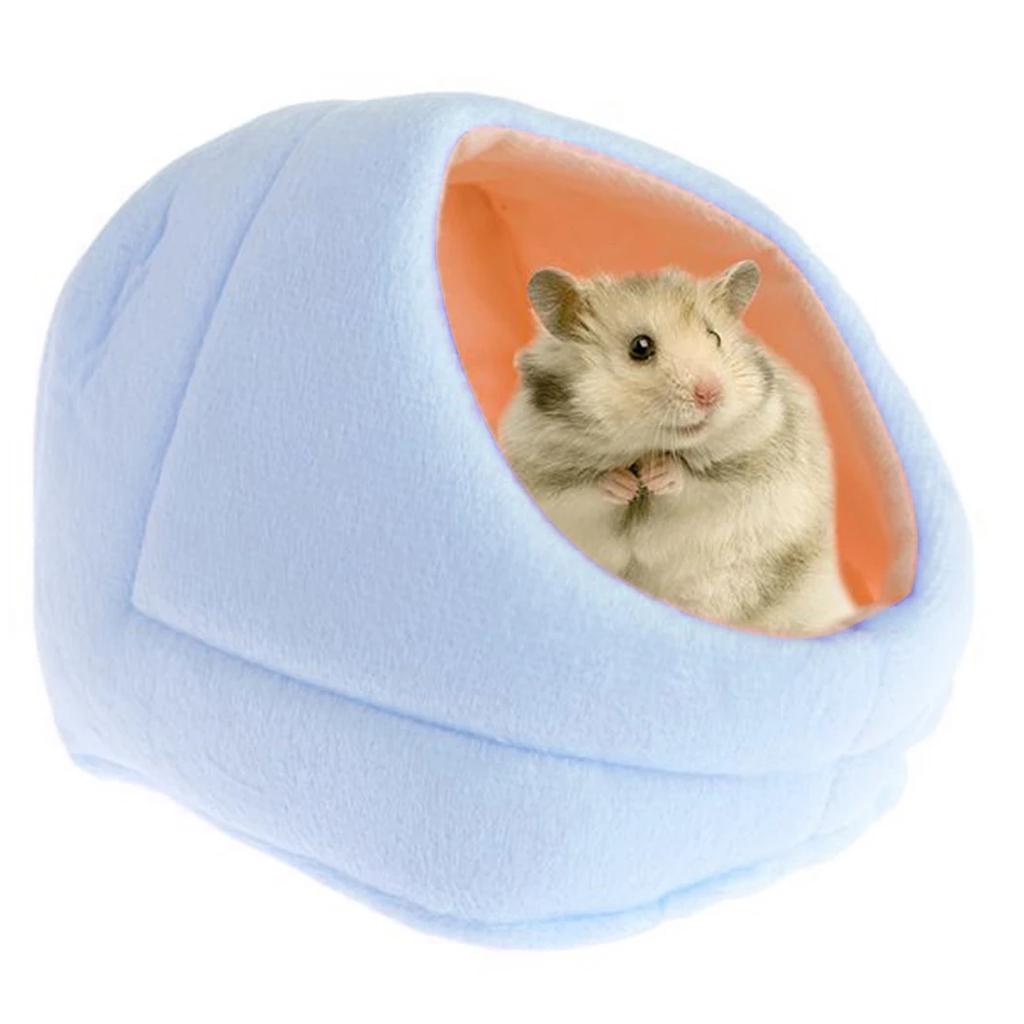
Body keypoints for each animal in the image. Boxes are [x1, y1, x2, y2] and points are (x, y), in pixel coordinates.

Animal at [499, 260, 856, 636]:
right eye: (640, 347)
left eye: (714, 337)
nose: (711, 393)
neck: (645, 447)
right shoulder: (546, 477)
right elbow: (587, 488)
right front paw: (625, 484)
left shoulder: (749, 466)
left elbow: (693, 480)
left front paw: (657, 474)